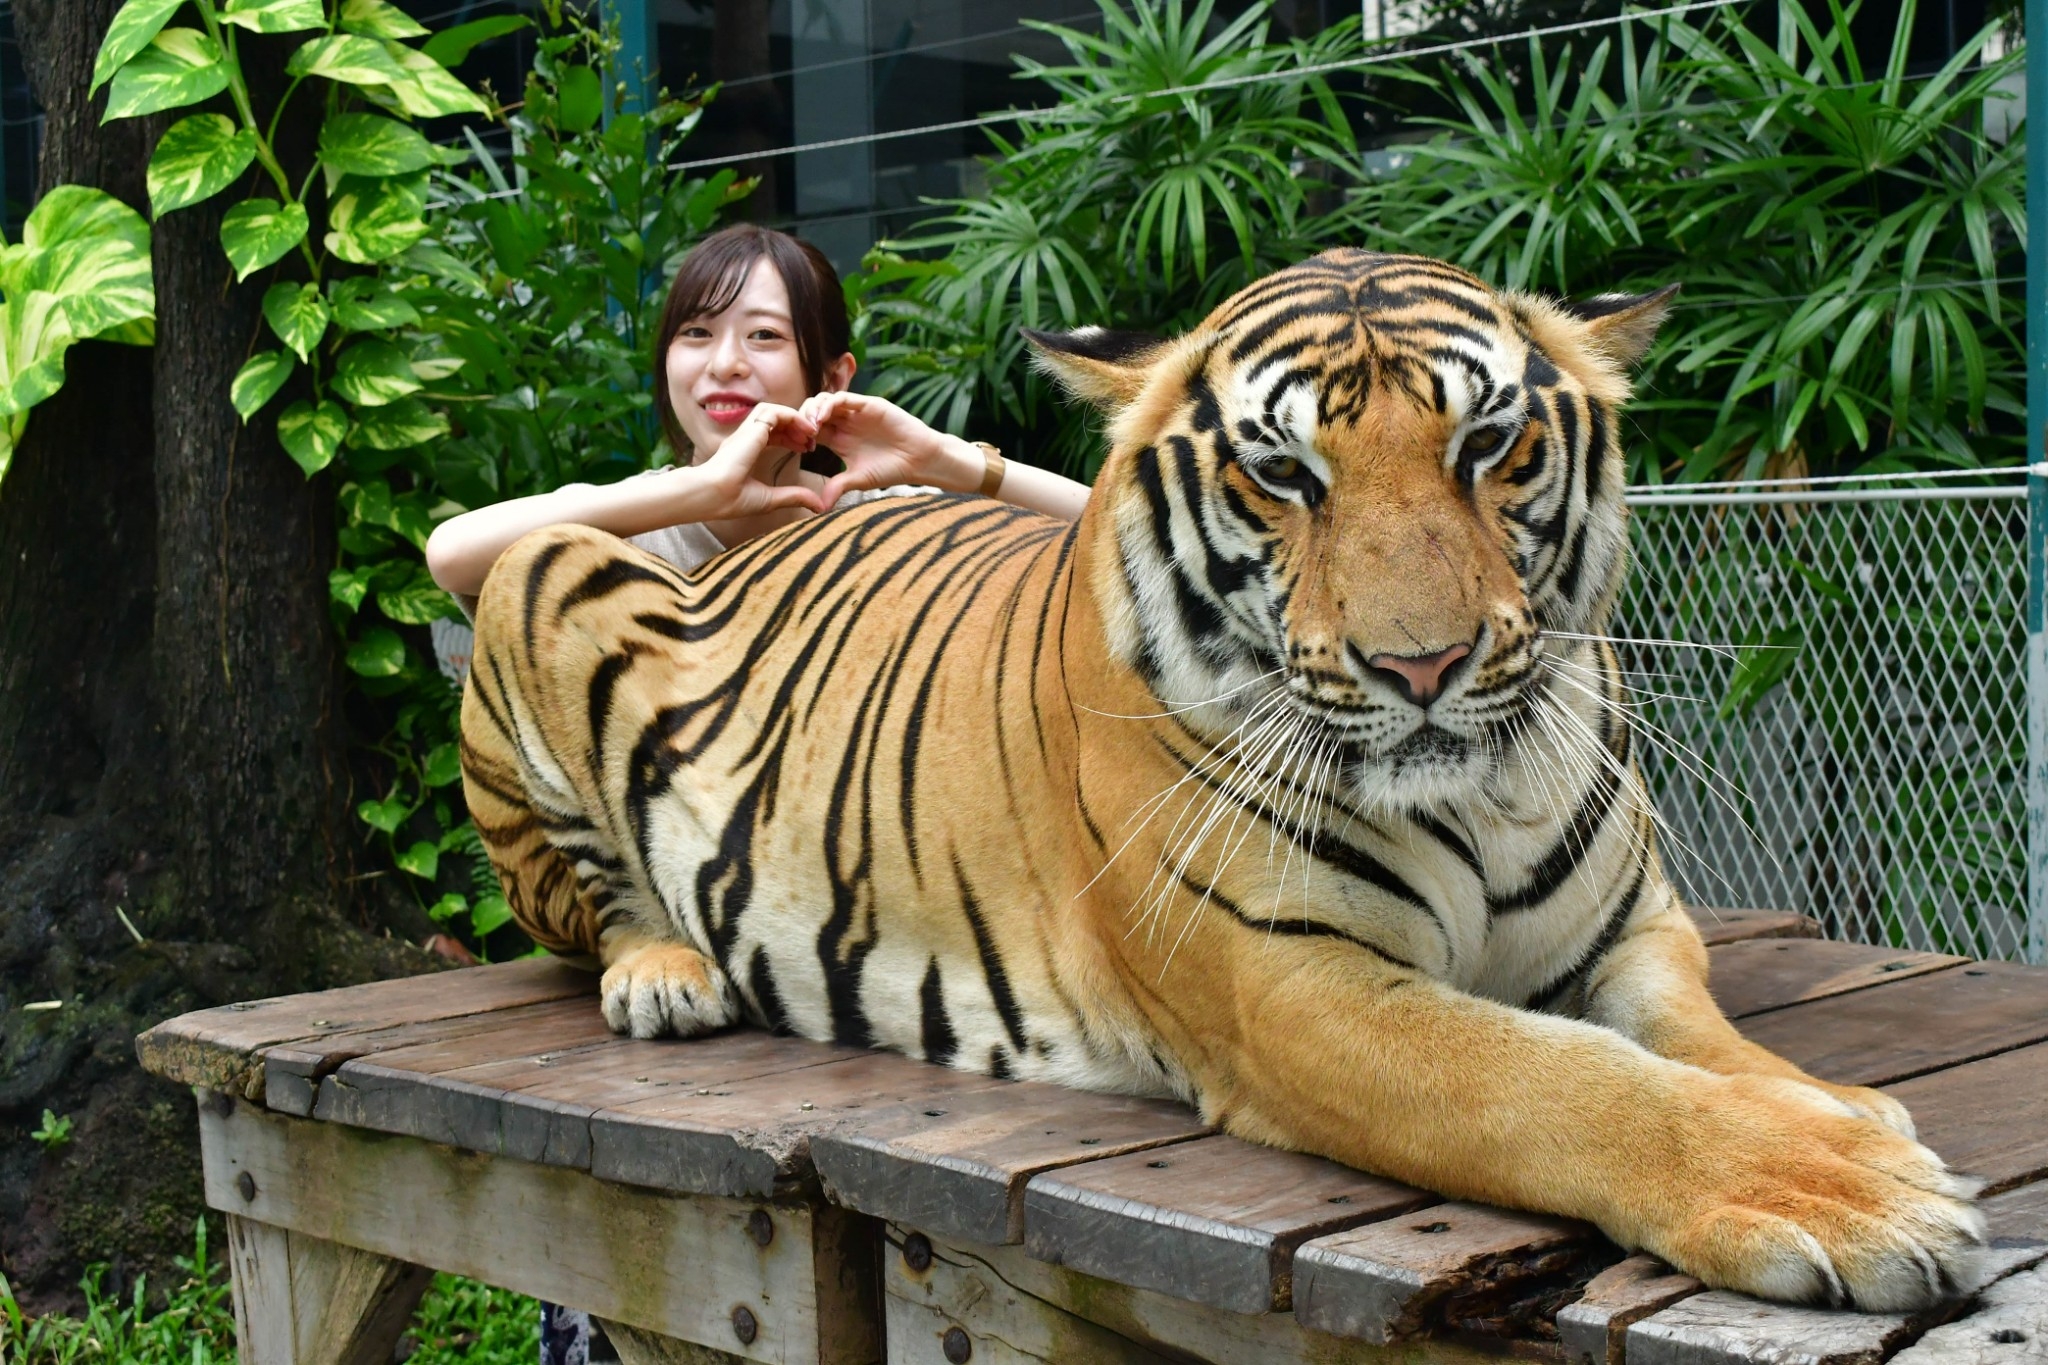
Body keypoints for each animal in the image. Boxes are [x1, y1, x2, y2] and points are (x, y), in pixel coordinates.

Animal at [460, 248, 1984, 1310]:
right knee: (595, 896)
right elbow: (1557, 1085)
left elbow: (1695, 1038)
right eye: (1282, 472)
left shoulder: (1632, 934)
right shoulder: (1288, 986)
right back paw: (667, 974)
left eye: (1487, 445)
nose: (1421, 666)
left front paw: (1842, 1114)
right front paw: (1841, 1191)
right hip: (546, 577)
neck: (1478, 795)